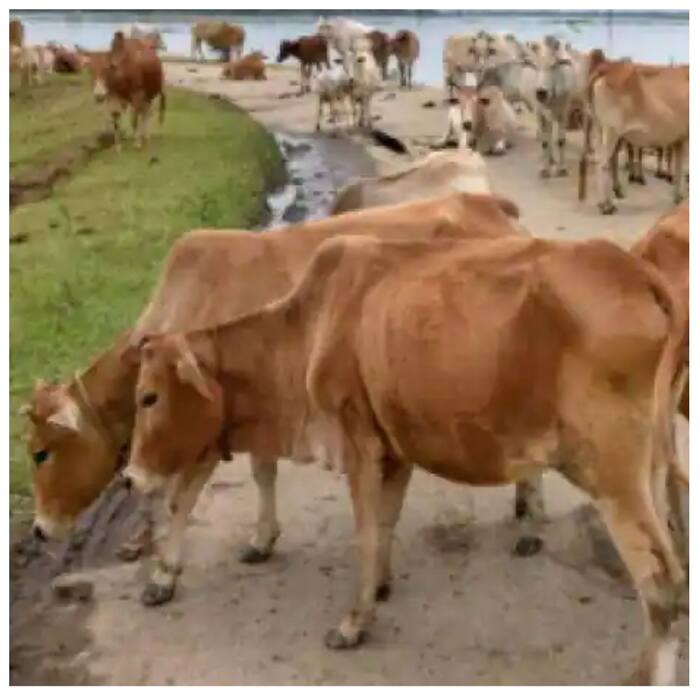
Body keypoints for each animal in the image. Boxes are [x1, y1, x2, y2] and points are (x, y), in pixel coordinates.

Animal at [24, 191, 536, 605]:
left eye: (40, 453)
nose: (39, 529)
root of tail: (487, 205)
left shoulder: (207, 434)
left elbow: (179, 499)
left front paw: (163, 575)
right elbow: (261, 472)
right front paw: (261, 539)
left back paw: (529, 527)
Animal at [124, 232, 687, 684]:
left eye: (148, 396)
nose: (129, 477)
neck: (306, 333)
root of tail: (637, 273)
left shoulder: (358, 444)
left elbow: (367, 533)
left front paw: (353, 623)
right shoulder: (396, 447)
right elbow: (385, 525)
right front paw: (380, 588)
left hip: (612, 475)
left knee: (662, 585)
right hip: (651, 467)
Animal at [579, 60, 689, 213]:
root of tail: (607, 68)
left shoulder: (679, 139)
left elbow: (679, 167)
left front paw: (678, 196)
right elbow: (684, 167)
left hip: (598, 128)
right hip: (611, 130)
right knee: (603, 163)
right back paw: (606, 205)